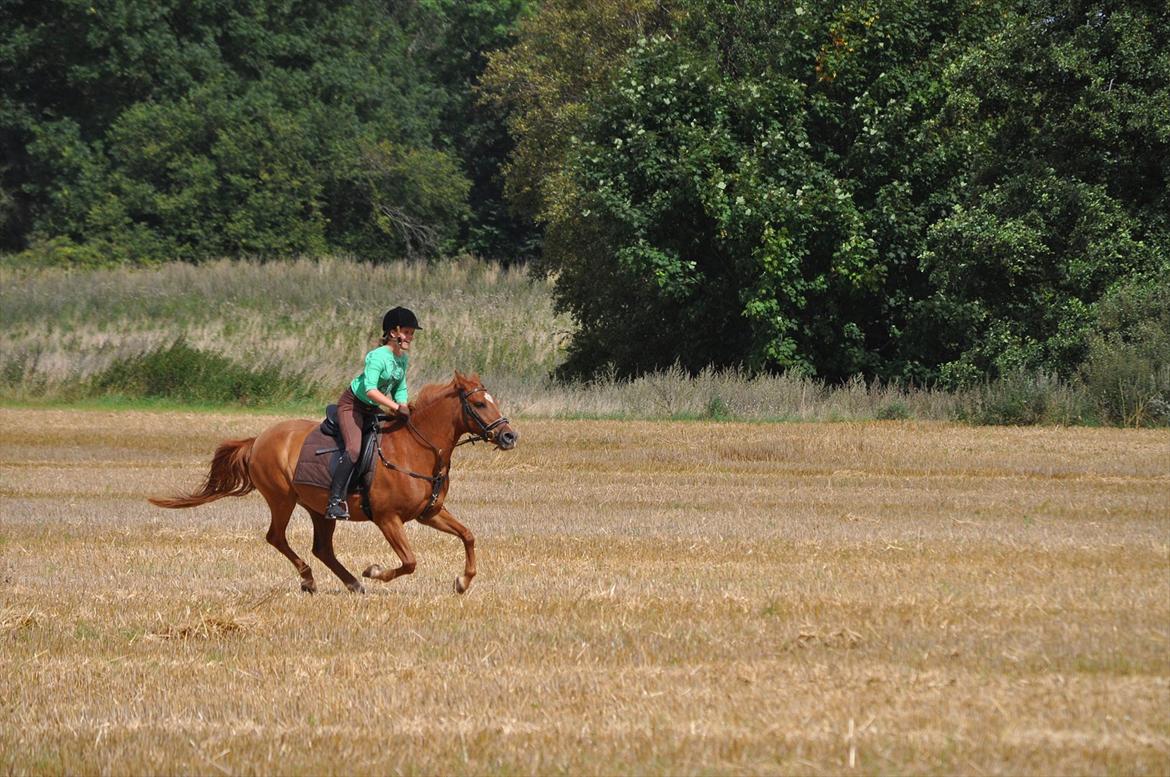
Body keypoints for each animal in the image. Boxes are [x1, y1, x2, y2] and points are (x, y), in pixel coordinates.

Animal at [149, 369, 517, 594]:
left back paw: (351, 583)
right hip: (282, 499)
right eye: (479, 403)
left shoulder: (429, 513)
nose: (510, 436)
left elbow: (468, 536)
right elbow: (410, 561)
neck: (417, 447)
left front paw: (463, 581)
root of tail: (259, 439)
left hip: (319, 508)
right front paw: (374, 571)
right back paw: (312, 580)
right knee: (276, 537)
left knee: (322, 548)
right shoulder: (387, 519)